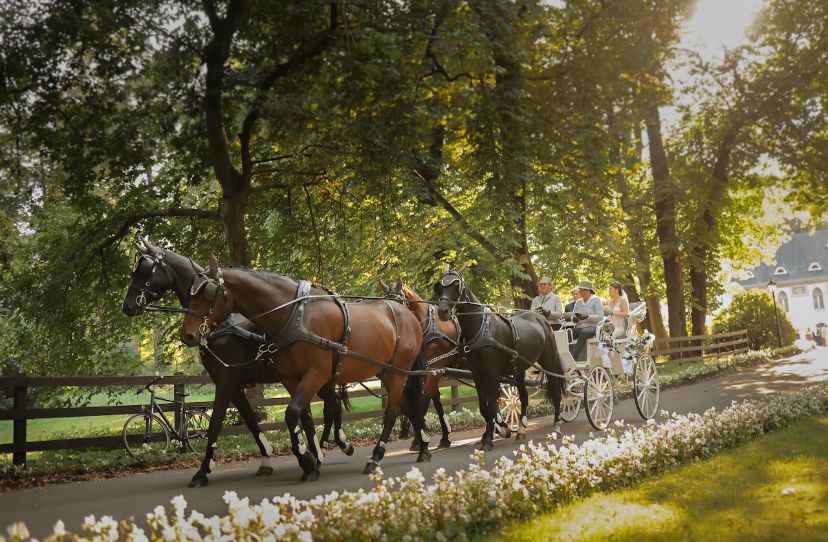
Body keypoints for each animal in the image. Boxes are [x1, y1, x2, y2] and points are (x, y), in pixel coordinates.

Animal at [121, 238, 350, 488]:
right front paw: (267, 458)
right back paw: (327, 446)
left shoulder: (226, 381)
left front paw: (203, 471)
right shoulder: (235, 386)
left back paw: (333, 445)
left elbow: (215, 423)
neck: (222, 326)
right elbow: (251, 422)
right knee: (330, 404)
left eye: (146, 270)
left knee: (330, 405)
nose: (128, 306)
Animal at [179, 260, 430, 480]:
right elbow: (304, 416)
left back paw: (376, 457)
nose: (188, 335)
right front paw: (312, 458)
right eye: (190, 295)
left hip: (398, 372)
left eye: (208, 293)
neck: (295, 316)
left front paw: (306, 458)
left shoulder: (315, 375)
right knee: (404, 406)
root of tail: (406, 315)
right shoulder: (290, 379)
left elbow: (291, 413)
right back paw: (423, 448)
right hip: (386, 372)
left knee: (392, 411)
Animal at [434, 266, 564, 452]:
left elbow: (492, 406)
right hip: (519, 369)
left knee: (556, 390)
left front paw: (489, 438)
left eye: (456, 285)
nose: (442, 311)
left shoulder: (493, 375)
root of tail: (541, 317)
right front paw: (496, 432)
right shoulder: (478, 375)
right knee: (524, 397)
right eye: (439, 287)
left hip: (550, 361)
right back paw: (521, 431)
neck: (482, 330)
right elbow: (484, 407)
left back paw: (557, 427)